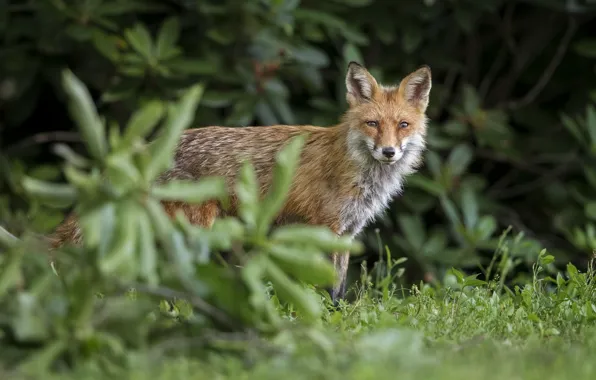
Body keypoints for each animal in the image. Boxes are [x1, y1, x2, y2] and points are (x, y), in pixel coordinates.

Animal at [51, 63, 430, 306]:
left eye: (403, 125)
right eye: (372, 124)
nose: (389, 151)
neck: (356, 168)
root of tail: (149, 149)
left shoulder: (347, 234)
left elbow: (337, 288)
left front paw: (337, 317)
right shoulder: (323, 227)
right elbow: (321, 285)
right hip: (194, 235)